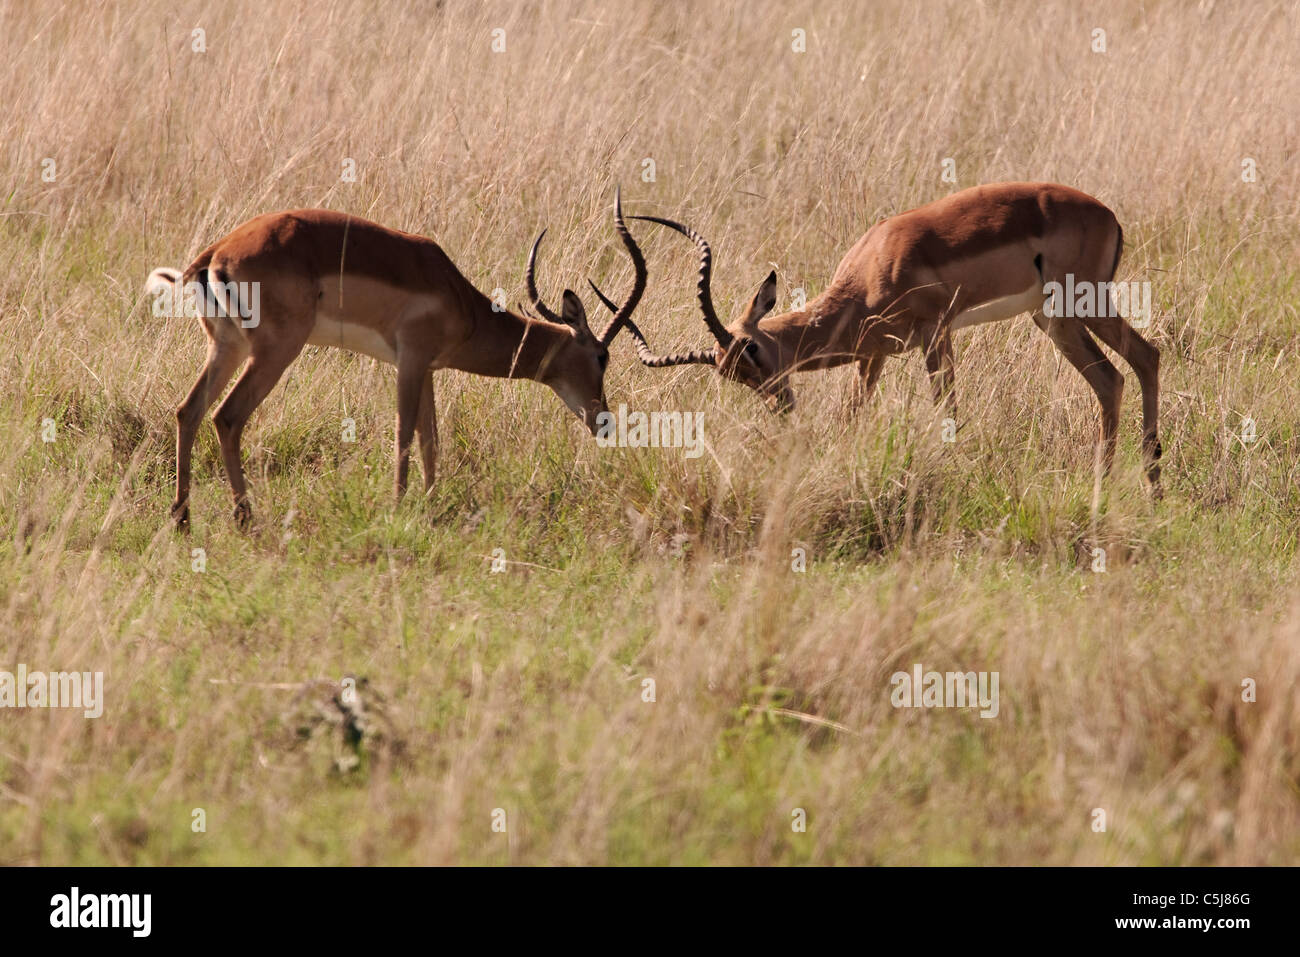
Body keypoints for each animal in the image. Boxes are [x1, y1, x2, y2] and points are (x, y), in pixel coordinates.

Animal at [146, 189, 644, 527]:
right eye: (602, 355)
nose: (604, 421)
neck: (459, 297)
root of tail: (215, 254)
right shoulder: (410, 361)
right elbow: (405, 434)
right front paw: (400, 508)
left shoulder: (427, 370)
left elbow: (431, 439)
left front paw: (431, 504)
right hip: (275, 351)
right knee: (227, 417)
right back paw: (245, 520)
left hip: (227, 348)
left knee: (189, 410)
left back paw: (182, 519)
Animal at [603, 182, 1164, 488]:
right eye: (731, 375)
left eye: (755, 350)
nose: (781, 405)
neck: (872, 267)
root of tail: (1107, 214)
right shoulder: (874, 356)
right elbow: (853, 415)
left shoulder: (935, 334)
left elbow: (947, 409)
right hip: (1054, 321)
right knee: (1118, 375)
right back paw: (1132, 484)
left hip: (1079, 307)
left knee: (1142, 359)